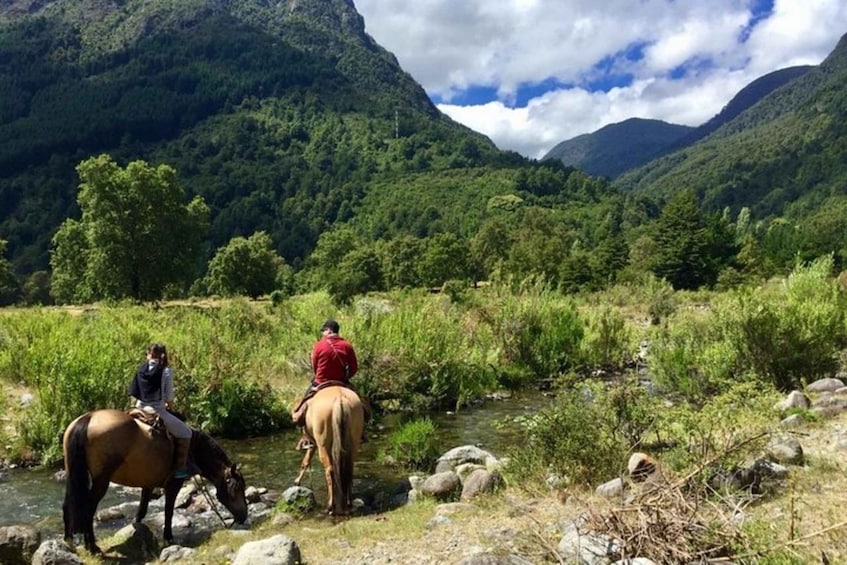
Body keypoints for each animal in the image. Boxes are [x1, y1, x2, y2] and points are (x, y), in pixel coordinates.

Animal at [62, 408, 248, 552]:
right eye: (237, 488)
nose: (243, 517)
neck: (193, 449)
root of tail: (88, 418)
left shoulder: (148, 484)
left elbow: (141, 511)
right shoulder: (173, 484)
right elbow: (168, 511)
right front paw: (169, 538)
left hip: (74, 475)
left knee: (68, 504)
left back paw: (70, 541)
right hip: (102, 480)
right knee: (88, 507)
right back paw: (92, 547)